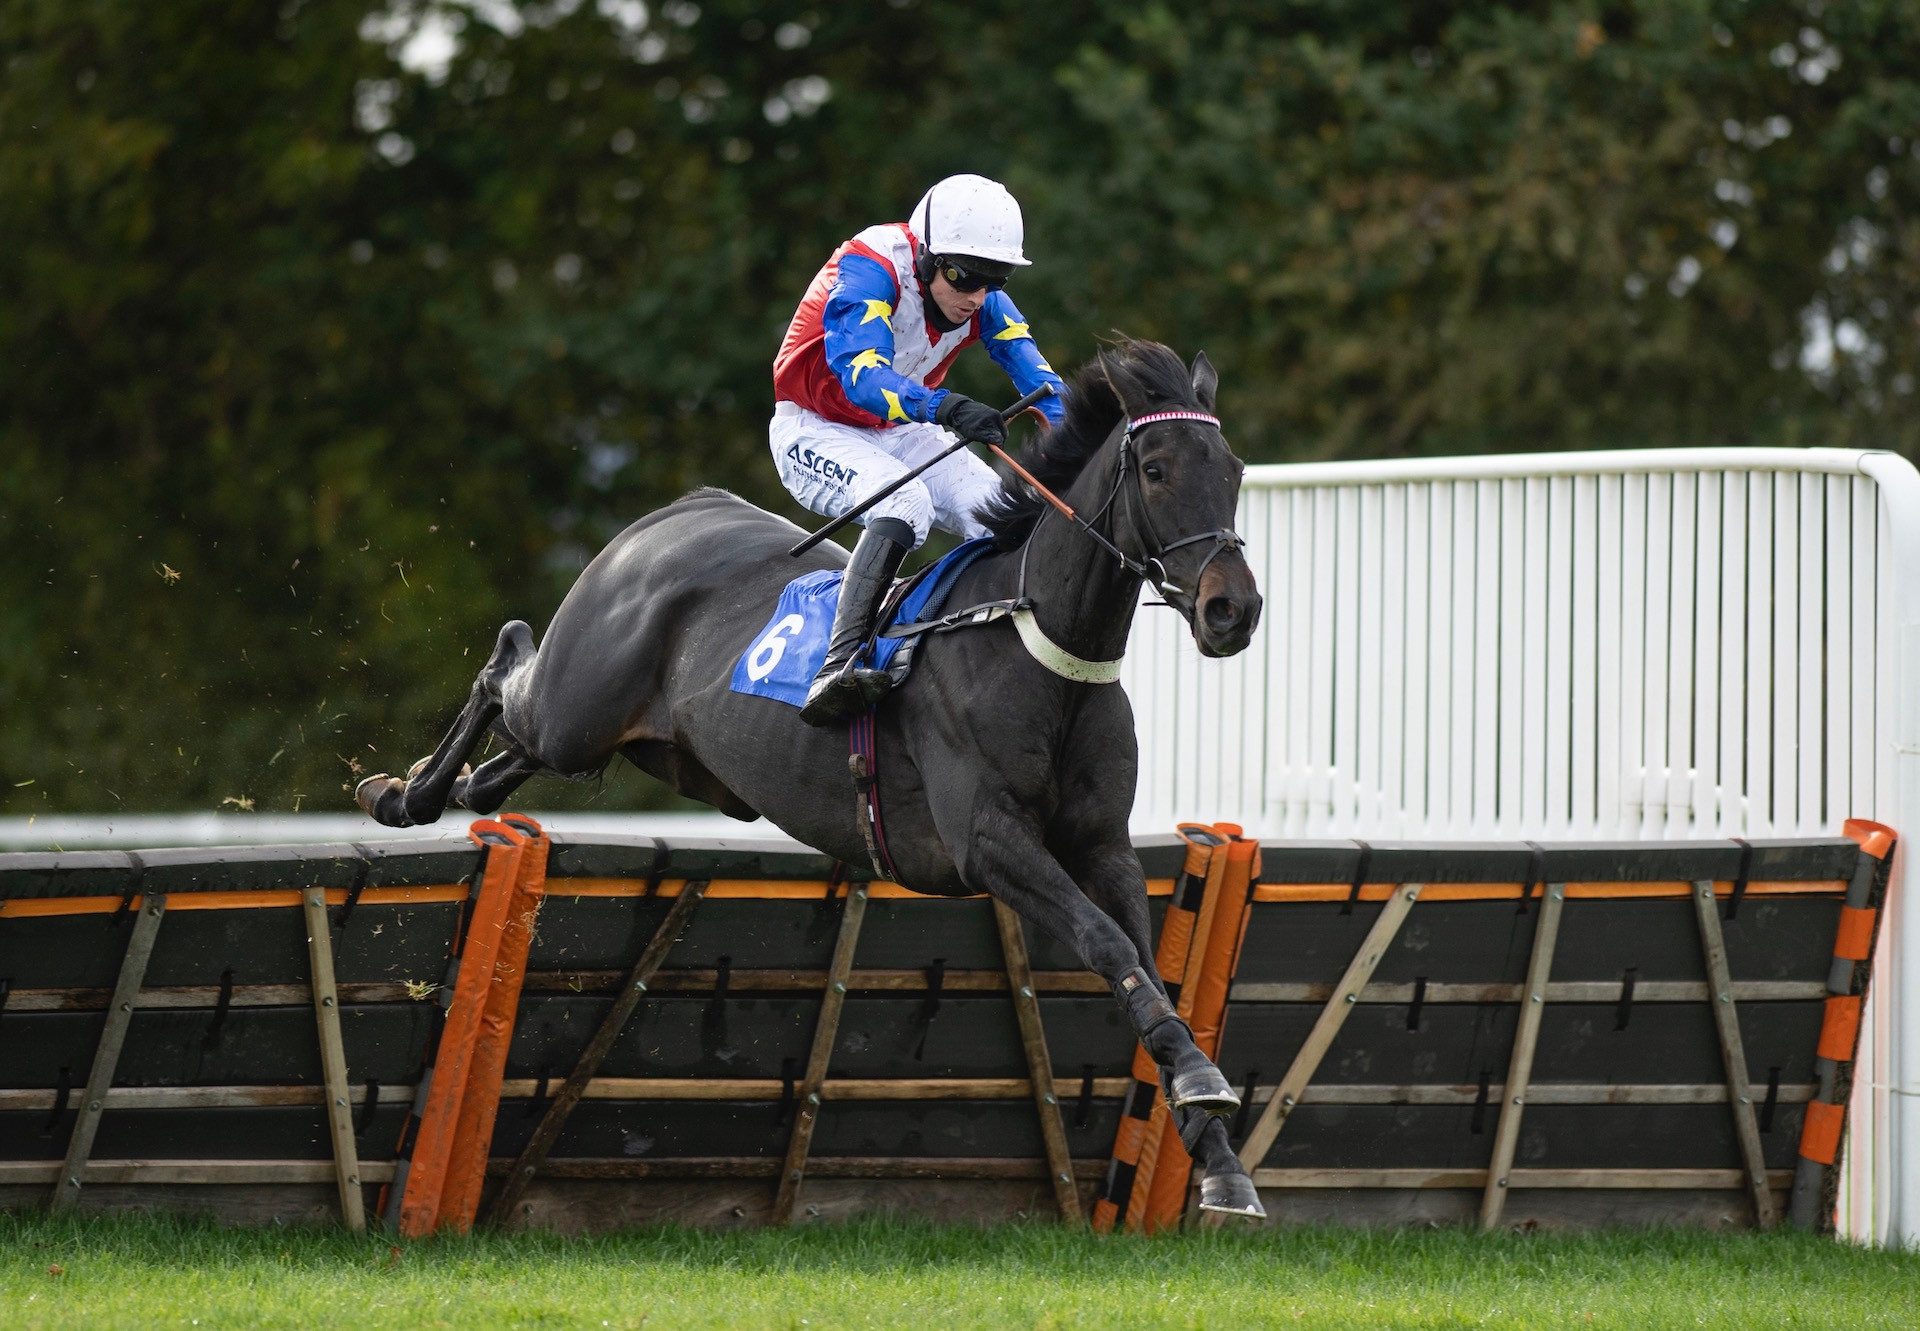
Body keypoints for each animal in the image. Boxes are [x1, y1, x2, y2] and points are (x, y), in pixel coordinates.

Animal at [355, 334, 1267, 1213]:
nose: (1234, 609)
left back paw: (444, 788)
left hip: (647, 749)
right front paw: (1201, 1082)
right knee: (506, 659)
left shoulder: (1102, 844)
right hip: (573, 709)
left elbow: (1150, 968)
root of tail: (675, 513)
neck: (1031, 640)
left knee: (506, 756)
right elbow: (1105, 941)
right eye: (1156, 470)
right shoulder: (990, 843)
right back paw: (402, 794)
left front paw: (1220, 1158)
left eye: (1233, 470)